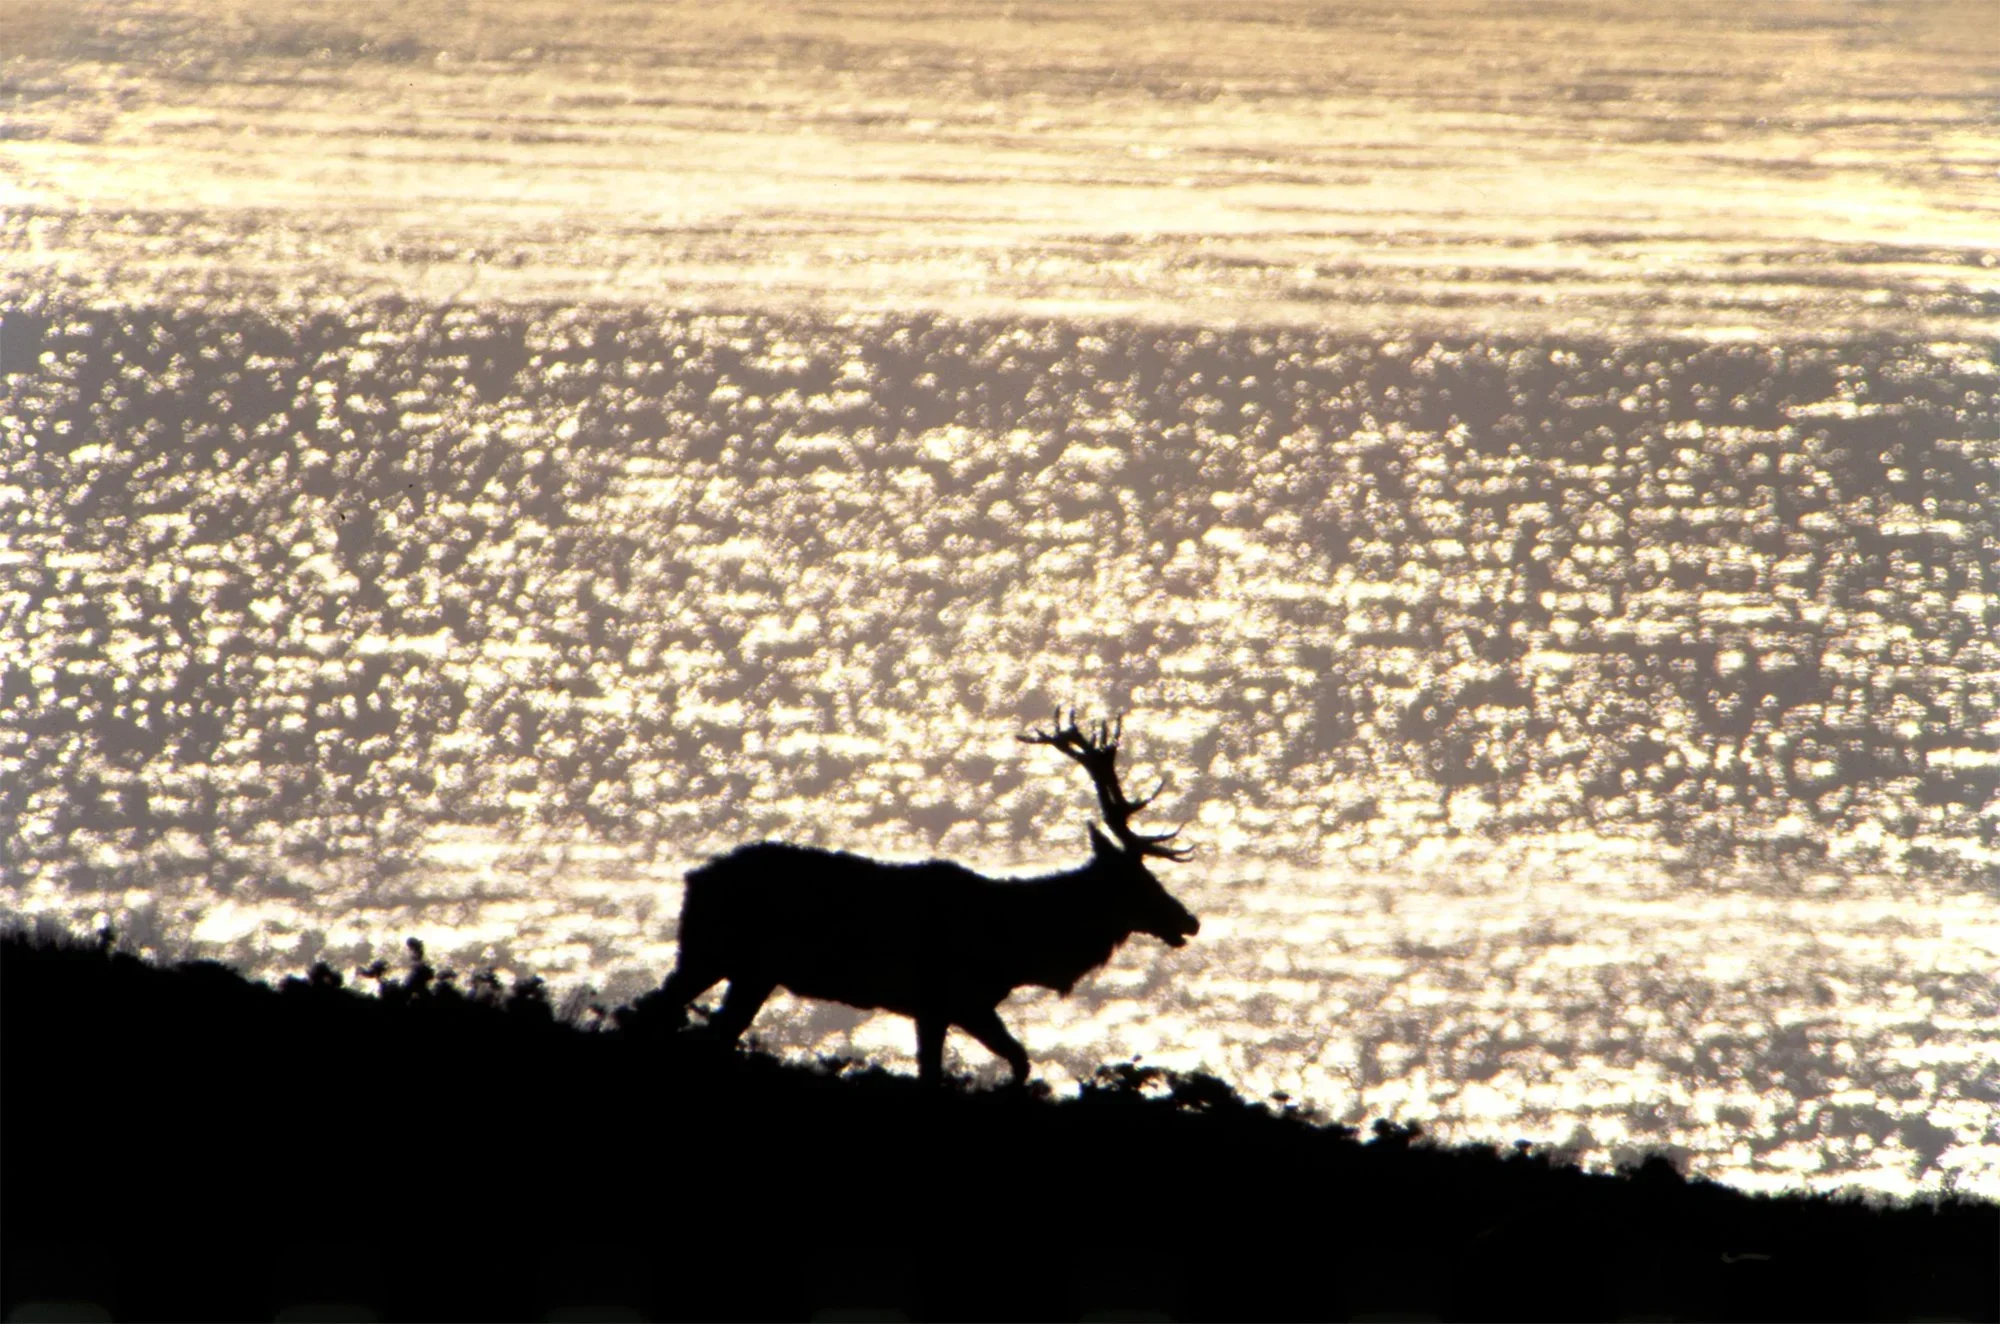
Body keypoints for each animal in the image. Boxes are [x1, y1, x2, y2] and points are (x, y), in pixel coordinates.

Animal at [644, 712, 1199, 1087]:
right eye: (1140, 881)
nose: (1189, 921)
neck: (1018, 946)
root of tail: (694, 879)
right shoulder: (948, 998)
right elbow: (987, 1067)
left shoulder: (950, 1006)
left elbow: (1012, 1060)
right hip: (713, 950)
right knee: (662, 1010)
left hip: (750, 970)